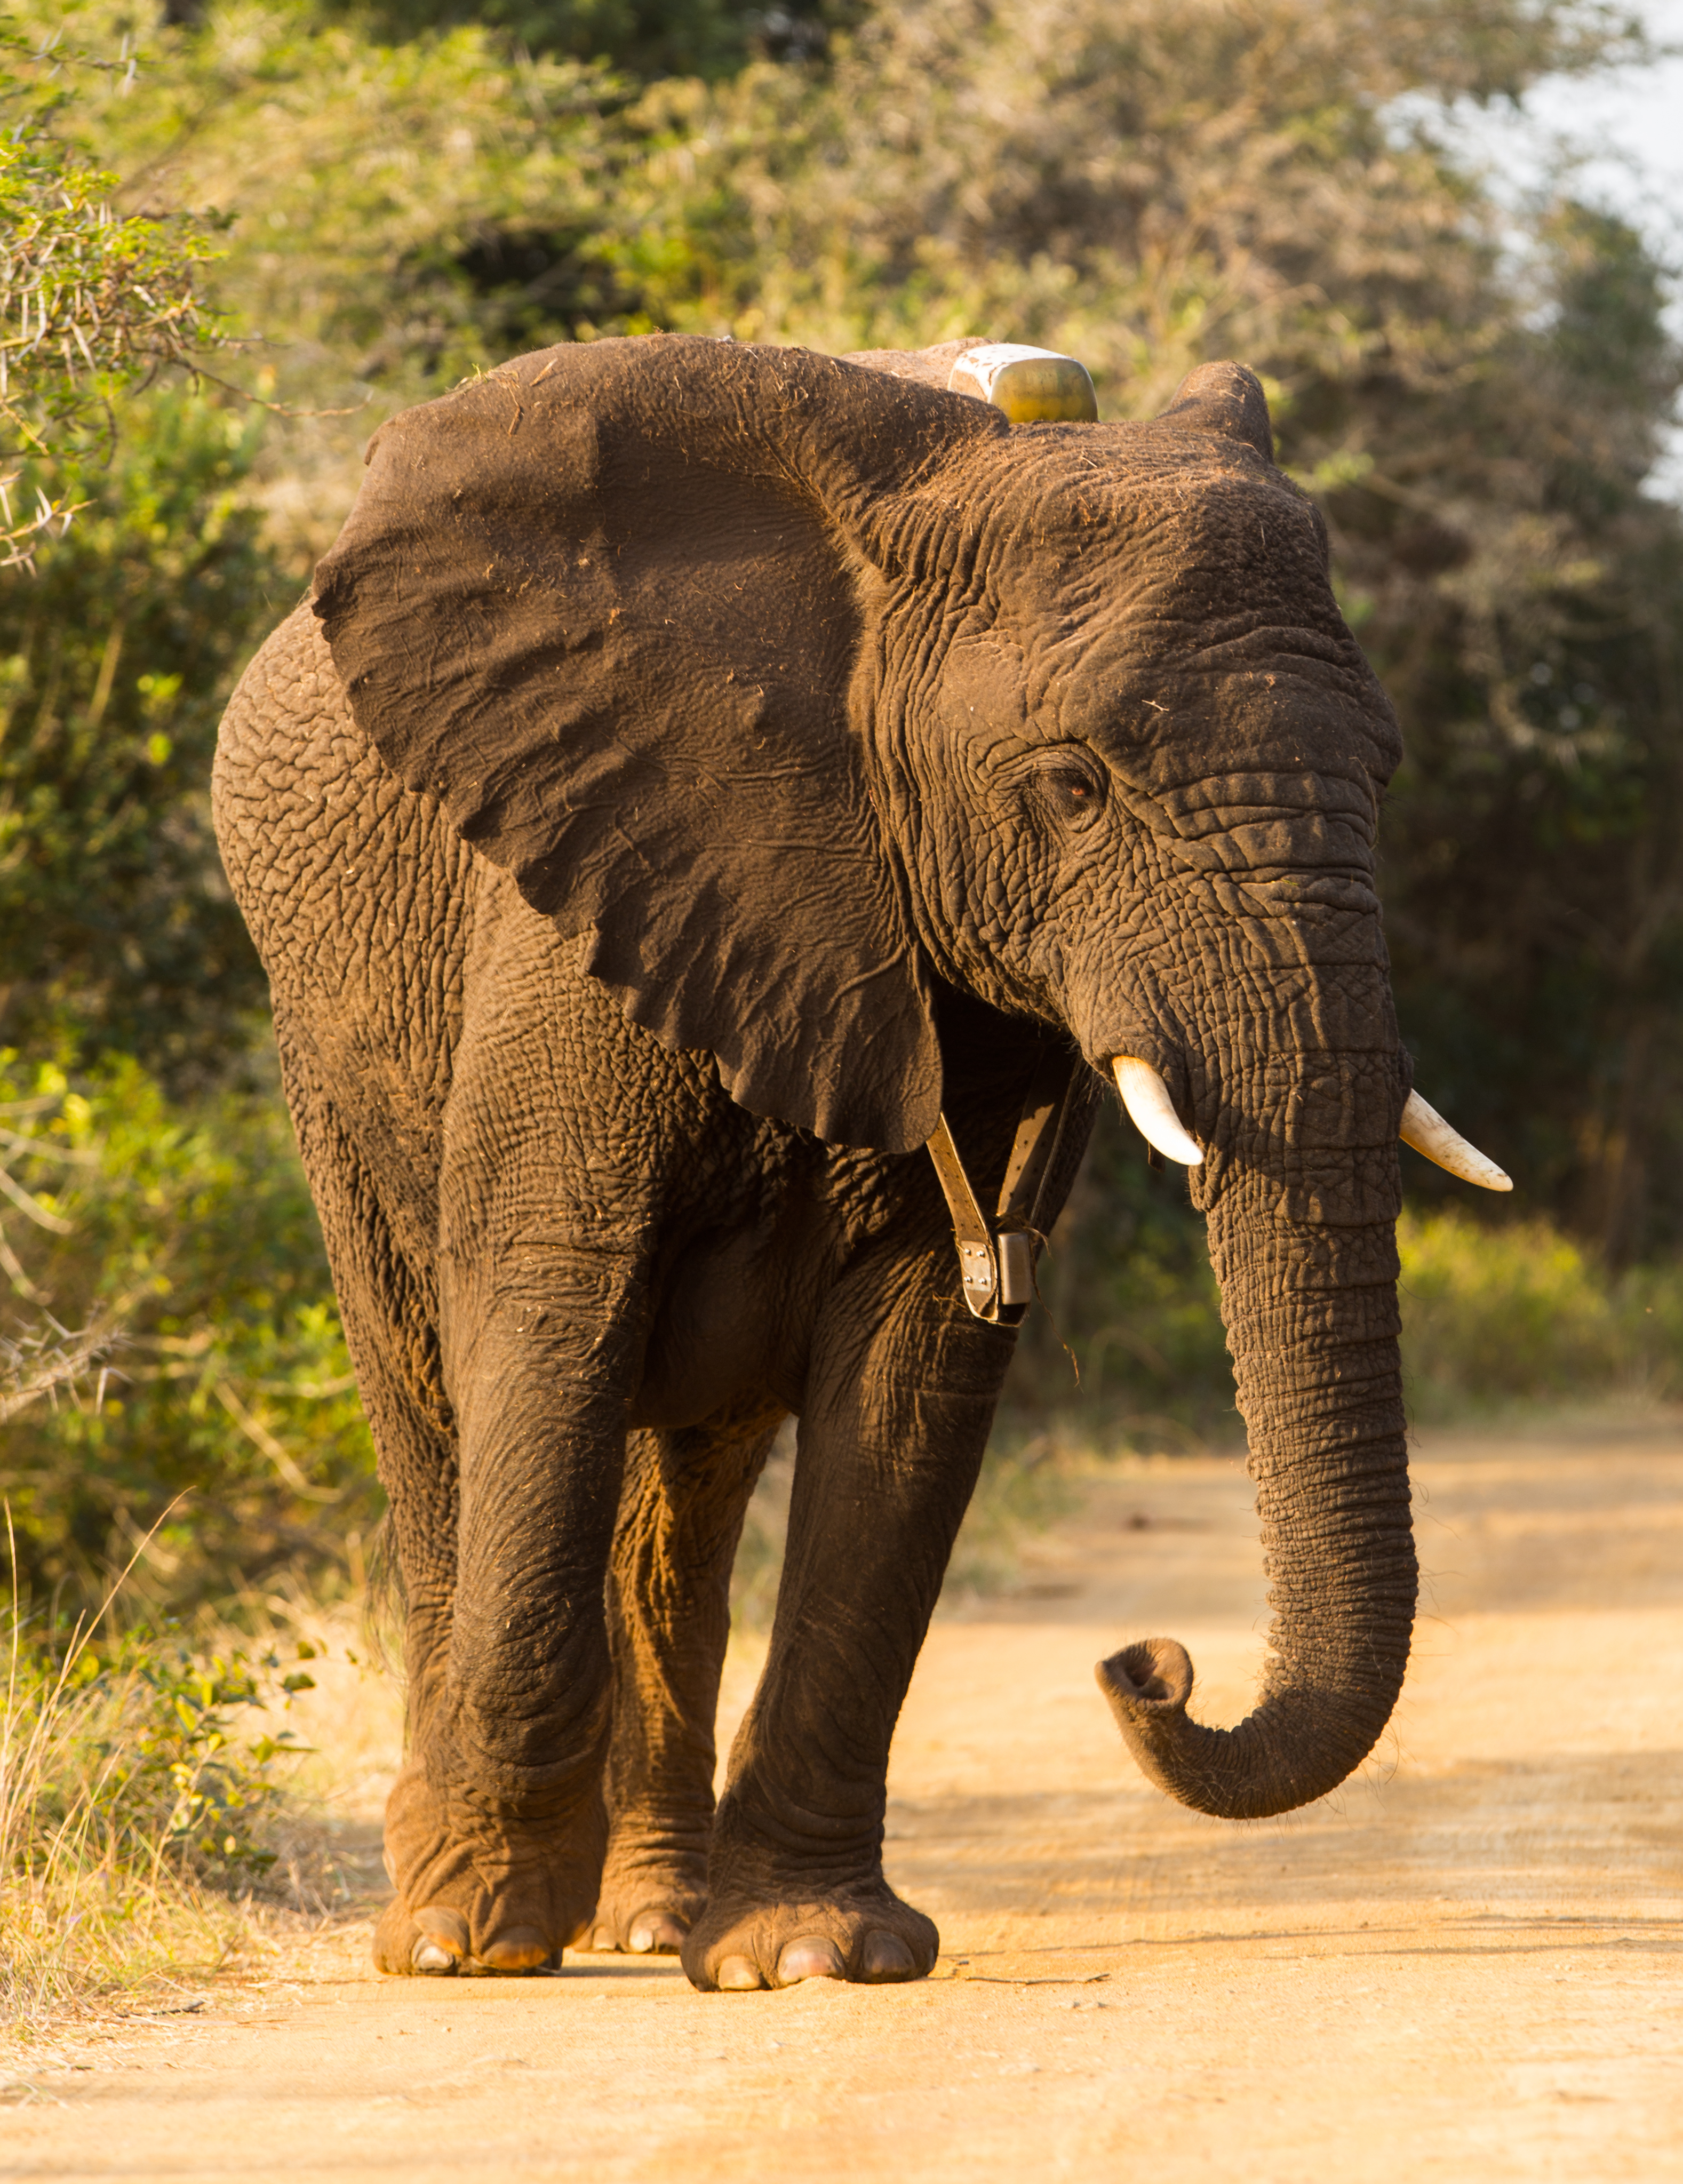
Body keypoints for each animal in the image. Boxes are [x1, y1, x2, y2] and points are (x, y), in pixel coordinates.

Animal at [212, 331, 1507, 1992]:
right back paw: (474, 1906)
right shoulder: (582, 891)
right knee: (437, 1405)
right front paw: (468, 1942)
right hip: (323, 1040)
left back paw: (651, 1915)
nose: (1150, 1662)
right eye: (1071, 784)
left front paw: (809, 1955)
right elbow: (547, 1308)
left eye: (1386, 777)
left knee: (680, 1500)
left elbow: (918, 1365)